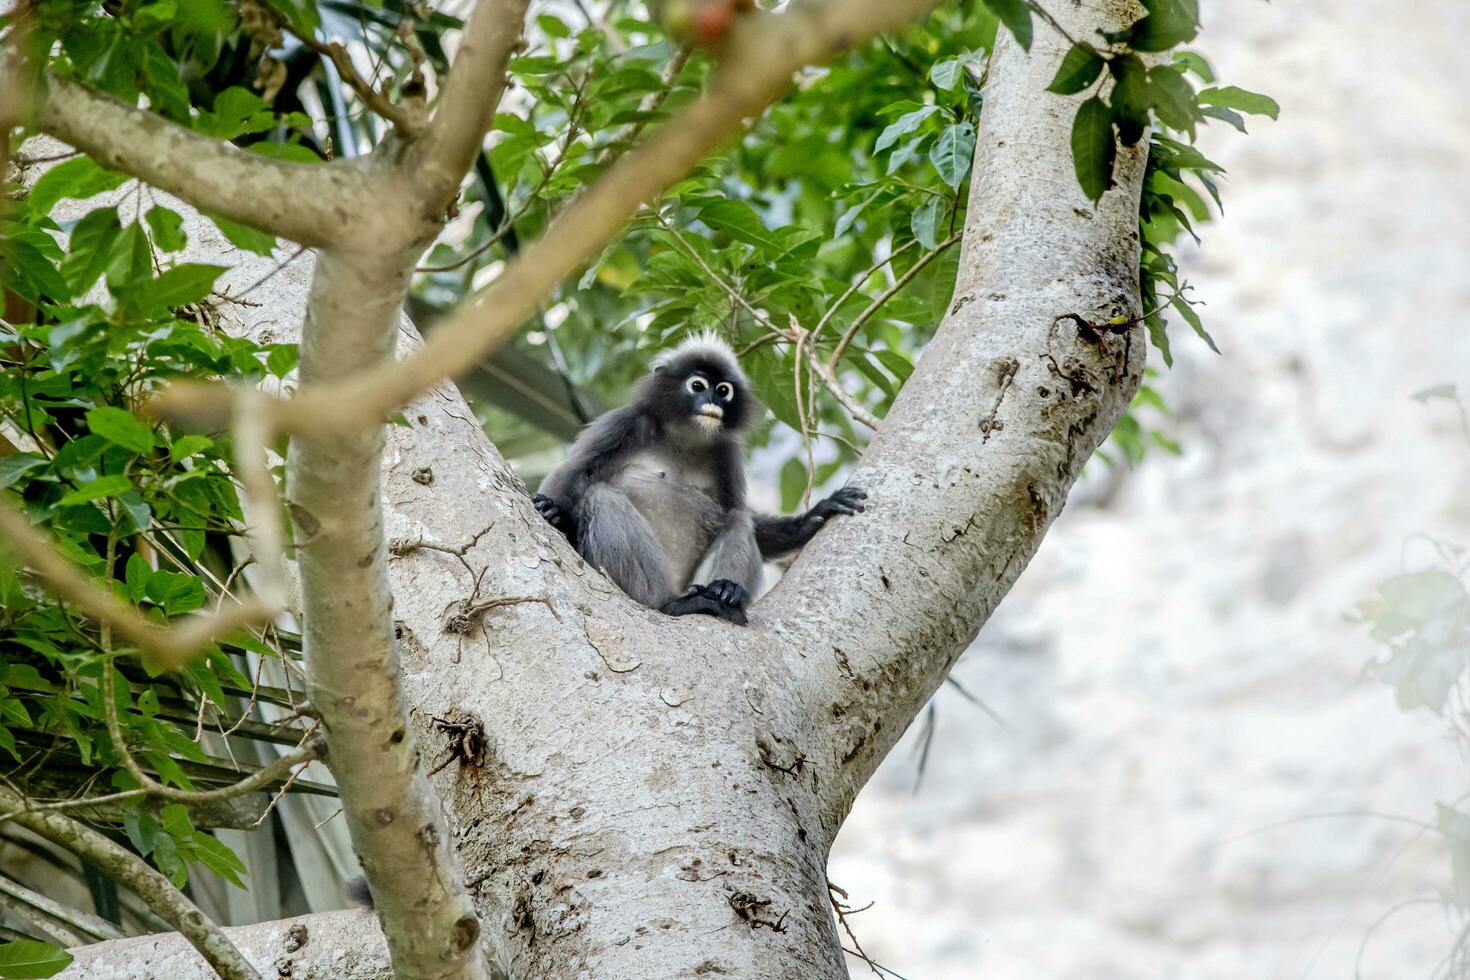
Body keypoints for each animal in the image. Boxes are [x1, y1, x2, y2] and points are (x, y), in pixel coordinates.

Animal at [538, 337, 864, 625]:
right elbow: (576, 473)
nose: (711, 401)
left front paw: (815, 516)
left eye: (723, 390)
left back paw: (726, 593)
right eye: (698, 386)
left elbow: (739, 513)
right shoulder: (625, 424)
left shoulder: (726, 454)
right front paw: (554, 513)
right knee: (601, 497)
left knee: (738, 519)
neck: (685, 438)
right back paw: (671, 603)